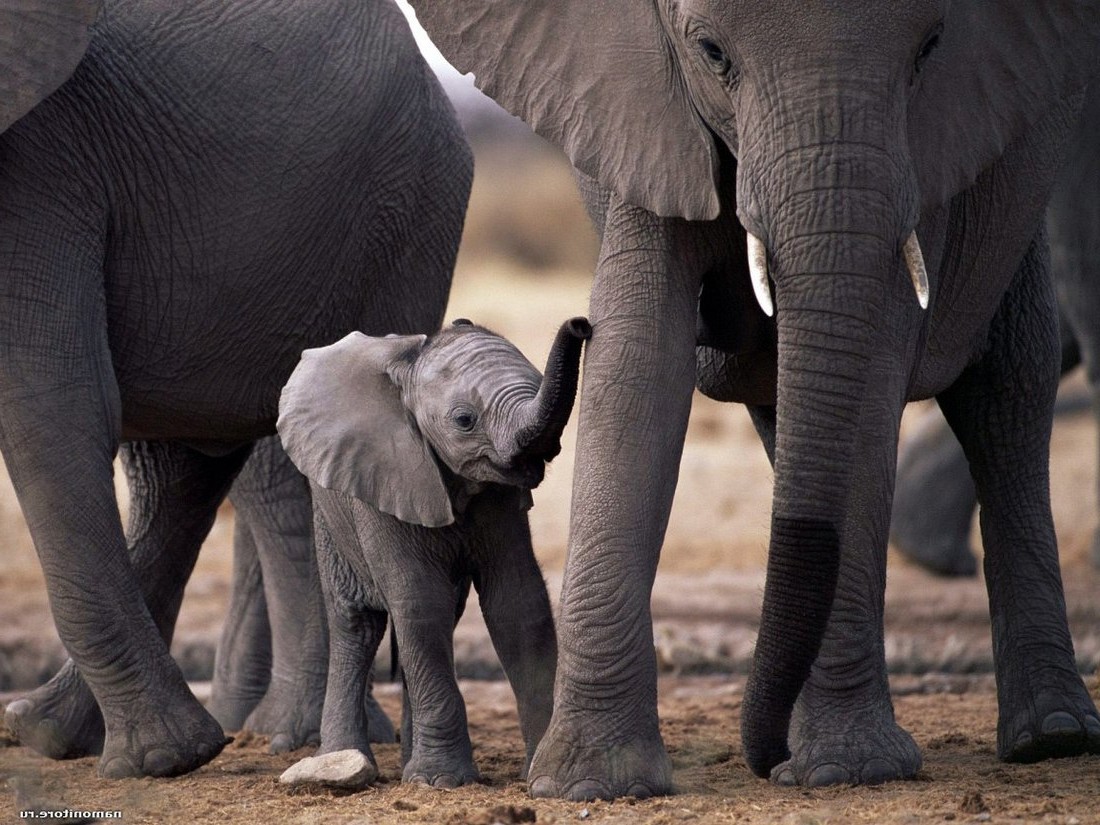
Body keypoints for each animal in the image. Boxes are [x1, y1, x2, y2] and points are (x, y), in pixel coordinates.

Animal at [0, 0, 473, 783]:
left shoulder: (41, 164)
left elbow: (49, 410)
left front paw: (165, 762)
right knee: (178, 466)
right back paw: (49, 729)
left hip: (404, 216)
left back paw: (270, 743)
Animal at [273, 316, 589, 787]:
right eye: (464, 420)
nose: (581, 324)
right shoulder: (385, 475)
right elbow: (420, 602)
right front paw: (441, 782)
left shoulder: (499, 499)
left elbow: (518, 604)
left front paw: (535, 773)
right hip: (329, 515)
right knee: (358, 625)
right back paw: (345, 760)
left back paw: (408, 765)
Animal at [411, 0, 1100, 800]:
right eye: (712, 53)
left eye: (929, 50)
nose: (764, 760)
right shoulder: (646, 116)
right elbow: (635, 362)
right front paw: (592, 784)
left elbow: (874, 368)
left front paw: (847, 770)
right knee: (790, 407)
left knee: (1007, 391)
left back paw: (1052, 737)